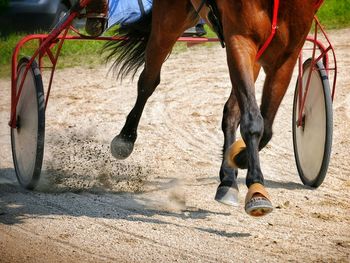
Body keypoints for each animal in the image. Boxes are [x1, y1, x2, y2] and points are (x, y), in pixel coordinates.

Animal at [103, 0, 322, 218]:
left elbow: (265, 129)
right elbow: (253, 122)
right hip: (170, 20)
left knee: (231, 112)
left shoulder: (286, 56)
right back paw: (125, 138)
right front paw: (256, 187)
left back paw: (228, 179)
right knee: (148, 81)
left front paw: (238, 159)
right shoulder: (239, 39)